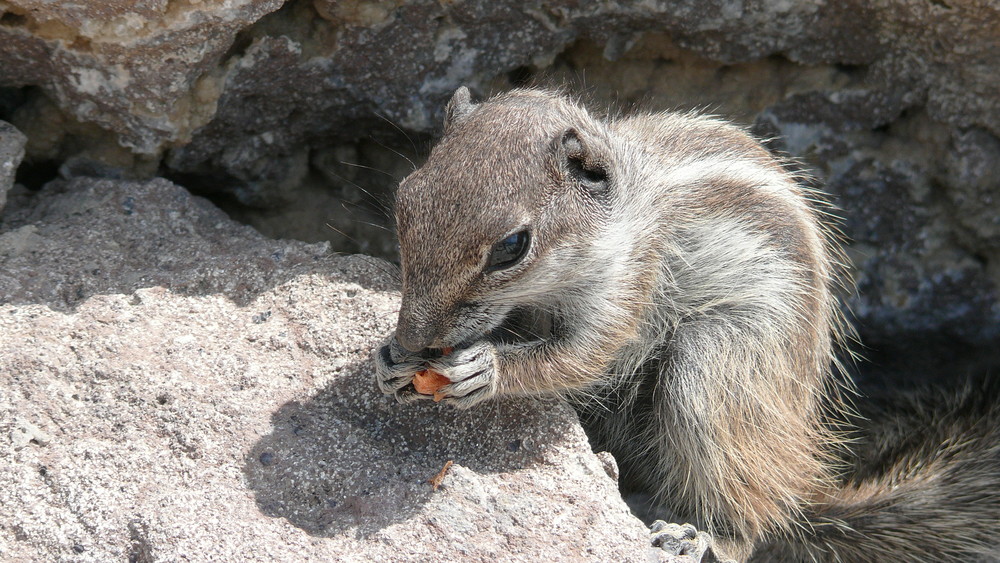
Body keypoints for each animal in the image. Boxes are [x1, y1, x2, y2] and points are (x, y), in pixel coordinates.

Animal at [372, 86, 996, 560]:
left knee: (751, 518)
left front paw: (486, 369)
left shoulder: (630, 284)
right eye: (404, 198)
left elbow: (580, 356)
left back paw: (698, 536)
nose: (413, 337)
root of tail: (799, 484)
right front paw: (390, 360)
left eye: (511, 247)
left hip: (716, 364)